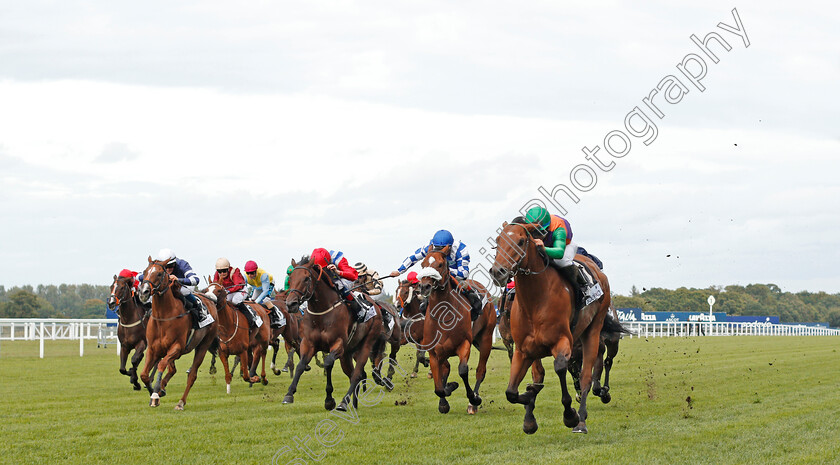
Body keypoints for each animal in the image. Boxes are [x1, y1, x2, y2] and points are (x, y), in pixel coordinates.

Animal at [138, 258, 218, 410]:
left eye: (159, 273)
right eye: (144, 272)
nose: (143, 292)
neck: (163, 317)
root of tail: (210, 301)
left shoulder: (177, 347)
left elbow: (161, 364)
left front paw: (155, 394)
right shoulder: (152, 349)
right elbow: (144, 374)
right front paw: (154, 393)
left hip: (203, 345)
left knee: (192, 375)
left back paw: (180, 402)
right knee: (172, 370)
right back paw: (163, 388)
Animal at [284, 254, 386, 410]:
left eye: (306, 278)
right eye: (290, 279)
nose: (290, 304)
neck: (321, 313)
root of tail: (375, 305)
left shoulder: (337, 344)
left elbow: (328, 363)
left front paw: (329, 400)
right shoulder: (309, 343)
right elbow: (301, 365)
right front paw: (289, 394)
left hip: (366, 344)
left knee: (357, 374)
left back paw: (344, 402)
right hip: (347, 354)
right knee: (353, 374)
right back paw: (353, 403)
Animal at [416, 252, 496, 416]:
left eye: (440, 264)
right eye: (422, 264)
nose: (424, 286)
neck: (443, 315)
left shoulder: (464, 344)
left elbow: (463, 370)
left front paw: (473, 398)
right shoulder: (434, 351)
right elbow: (439, 385)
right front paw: (446, 395)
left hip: (486, 338)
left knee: (480, 370)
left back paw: (473, 404)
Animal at [486, 220, 612, 432]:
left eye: (521, 241)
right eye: (497, 241)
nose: (498, 272)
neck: (535, 301)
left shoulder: (562, 340)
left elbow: (560, 367)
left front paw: (570, 415)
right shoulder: (523, 350)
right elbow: (513, 391)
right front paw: (529, 408)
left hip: (593, 330)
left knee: (586, 375)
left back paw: (581, 419)